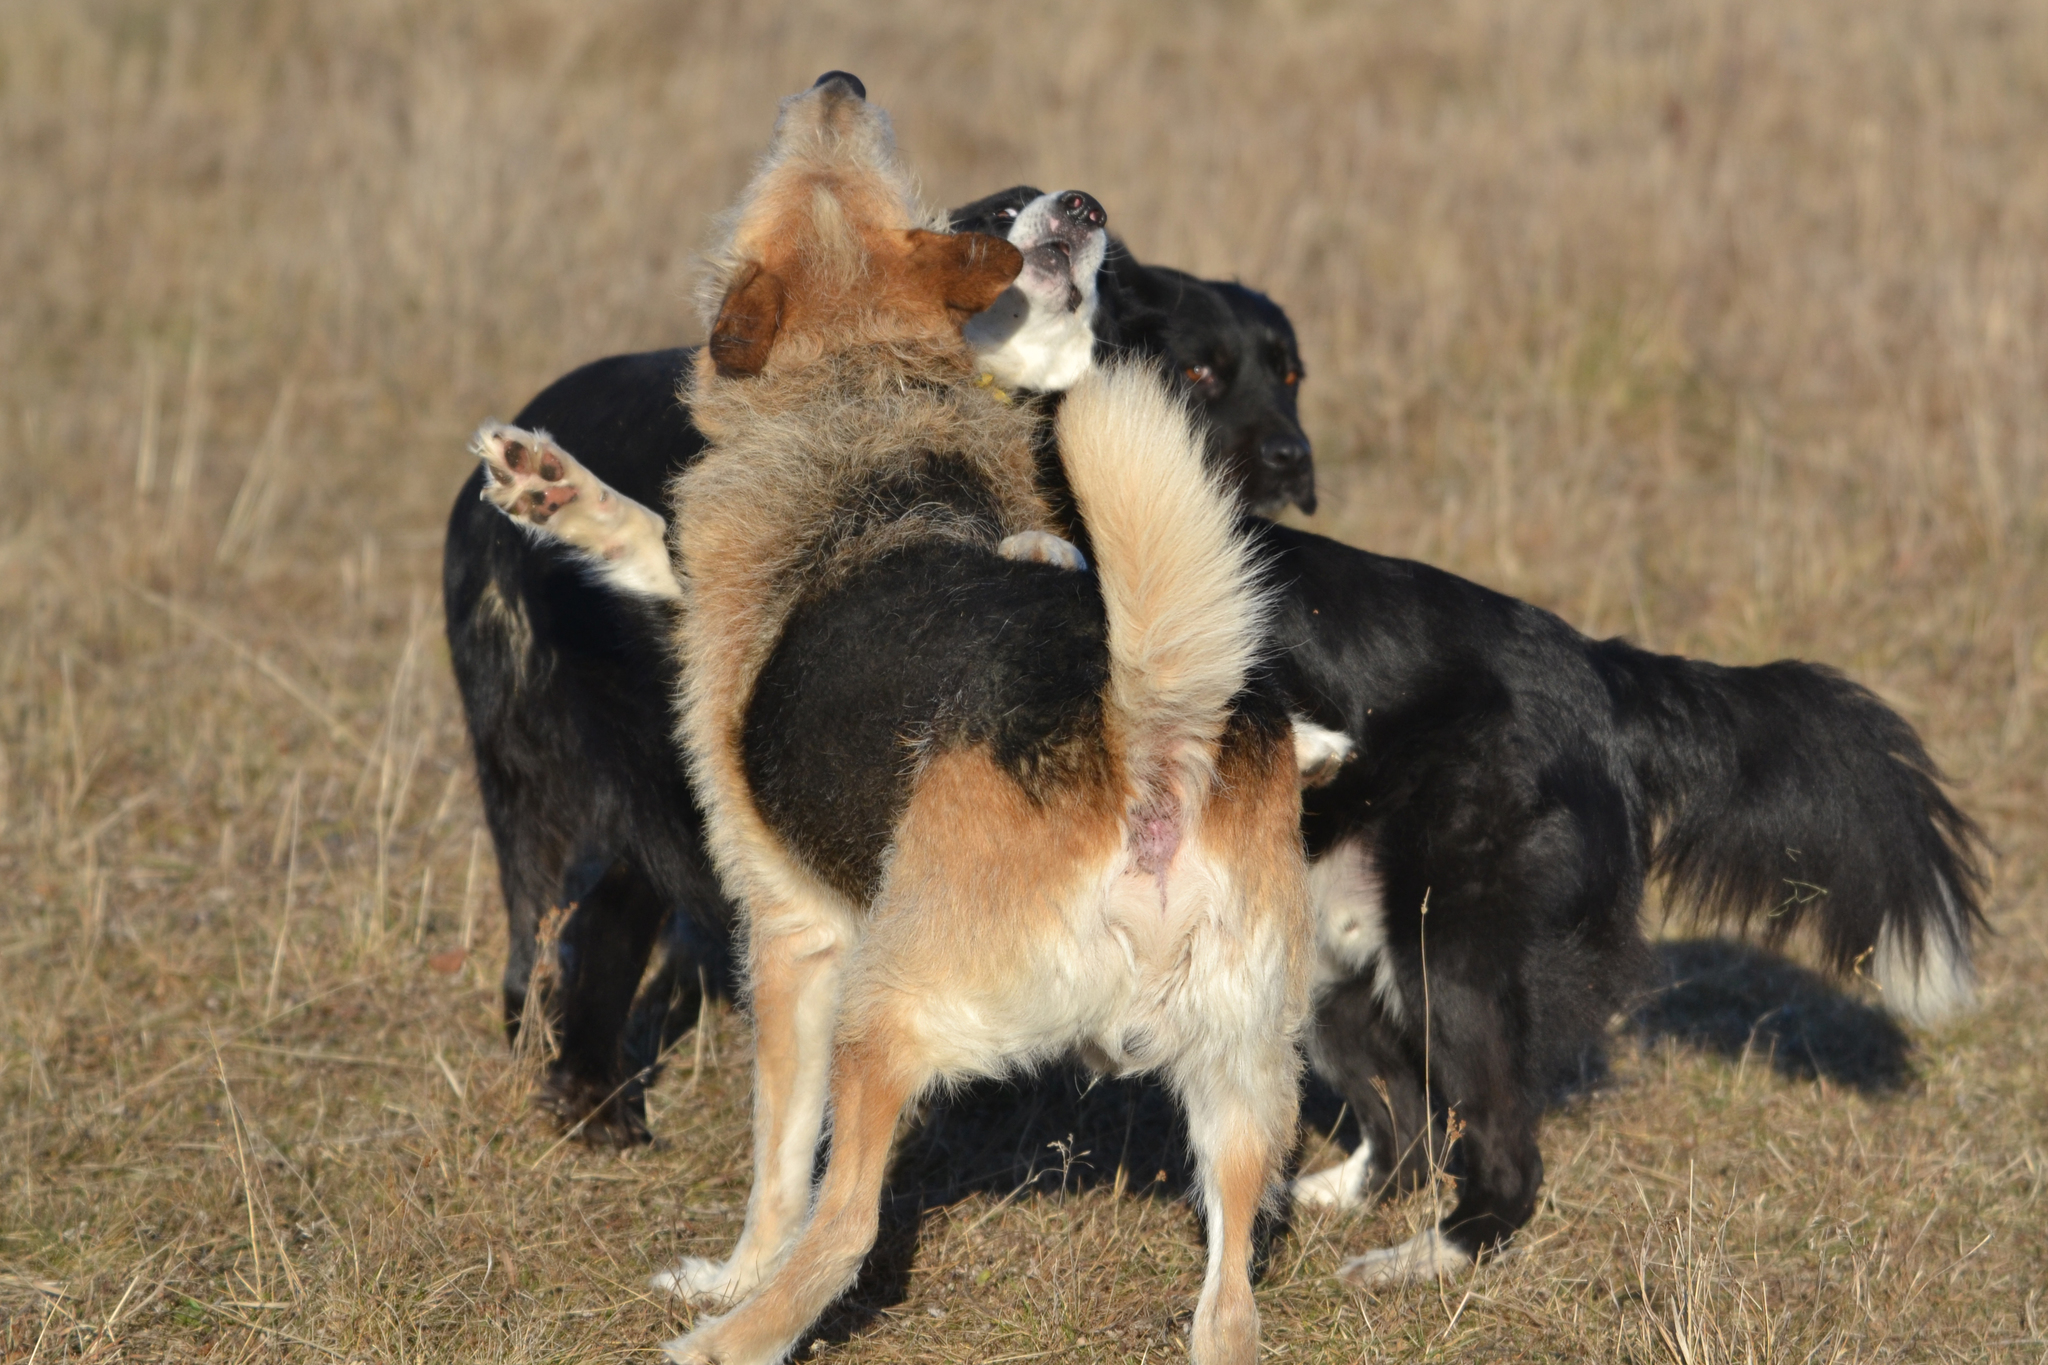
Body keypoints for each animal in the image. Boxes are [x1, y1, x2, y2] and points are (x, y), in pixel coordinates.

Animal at [655, 77, 1302, 1365]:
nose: (836, 83)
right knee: (1230, 1302)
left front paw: (730, 1275)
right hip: (1241, 1081)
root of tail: (1150, 754)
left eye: (774, 173)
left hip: (885, 1014)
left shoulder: (792, 940)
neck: (866, 395)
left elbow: (776, 1170)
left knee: (845, 1225)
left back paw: (729, 1337)